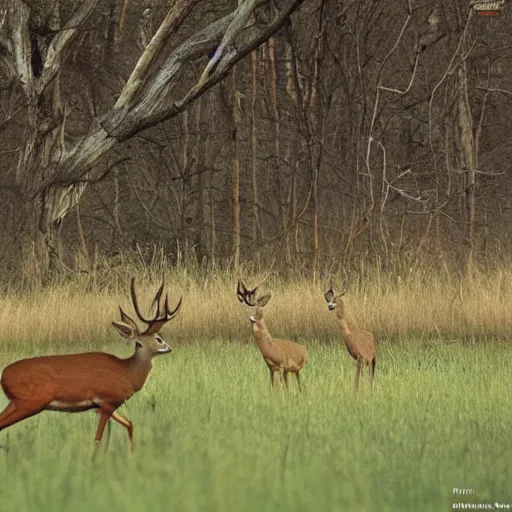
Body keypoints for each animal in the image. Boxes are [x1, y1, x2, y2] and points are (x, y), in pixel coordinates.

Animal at [0, 278, 183, 458]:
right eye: (157, 339)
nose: (168, 348)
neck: (127, 372)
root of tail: (4, 376)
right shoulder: (107, 400)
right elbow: (98, 440)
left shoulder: (106, 405)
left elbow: (129, 424)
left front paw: (131, 456)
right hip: (30, 401)